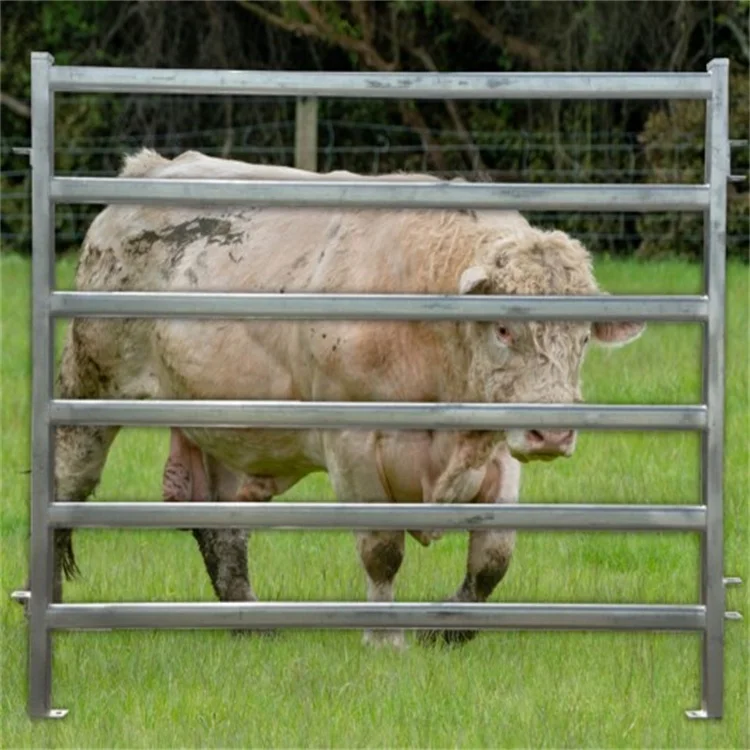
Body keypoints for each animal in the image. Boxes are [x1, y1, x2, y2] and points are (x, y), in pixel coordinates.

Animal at [48, 148, 644, 647]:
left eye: (584, 338)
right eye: (503, 330)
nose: (553, 433)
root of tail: (150, 168)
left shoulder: (497, 448)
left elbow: (494, 557)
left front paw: (449, 628)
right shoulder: (353, 445)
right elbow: (382, 551)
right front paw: (384, 638)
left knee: (220, 525)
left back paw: (249, 622)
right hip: (91, 384)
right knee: (68, 481)